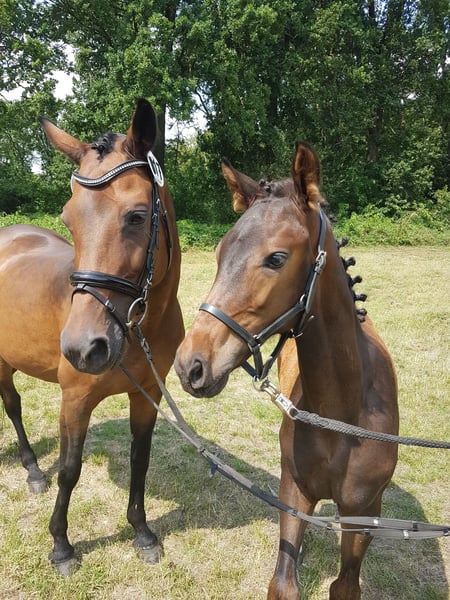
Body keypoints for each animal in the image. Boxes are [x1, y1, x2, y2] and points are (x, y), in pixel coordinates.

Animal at [0, 98, 184, 575]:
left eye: (137, 215)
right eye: (68, 218)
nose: (83, 348)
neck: (136, 328)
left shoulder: (146, 394)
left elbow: (140, 459)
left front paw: (142, 532)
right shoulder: (76, 398)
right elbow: (70, 469)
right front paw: (61, 545)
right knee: (13, 406)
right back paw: (33, 470)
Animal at [174, 142, 398, 599]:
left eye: (276, 258)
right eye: (220, 253)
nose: (191, 365)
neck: (342, 417)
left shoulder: (362, 515)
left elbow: (345, 585)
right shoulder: (292, 494)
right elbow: (284, 582)